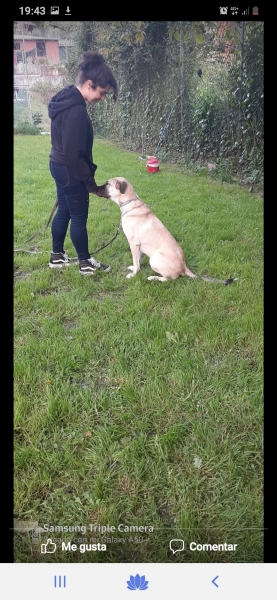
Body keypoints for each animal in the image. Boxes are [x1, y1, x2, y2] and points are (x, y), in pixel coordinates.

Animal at [96, 177, 234, 284]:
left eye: (107, 184)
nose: (95, 188)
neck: (130, 203)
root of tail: (184, 267)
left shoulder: (133, 244)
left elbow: (136, 260)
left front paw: (133, 274)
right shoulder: (138, 246)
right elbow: (138, 261)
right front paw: (135, 268)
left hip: (154, 258)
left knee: (170, 278)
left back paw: (154, 277)